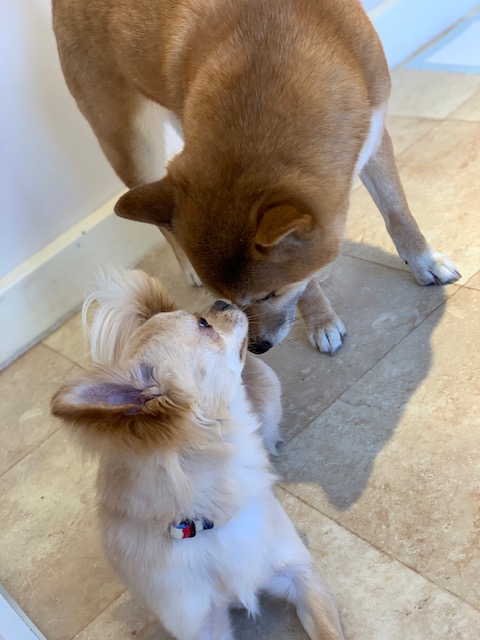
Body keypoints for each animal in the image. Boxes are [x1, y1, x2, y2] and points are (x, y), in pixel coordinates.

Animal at [51, 269, 345, 640]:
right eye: (203, 323)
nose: (220, 301)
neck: (206, 517)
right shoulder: (200, 626)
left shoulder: (299, 573)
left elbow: (329, 631)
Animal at [52, 0, 460, 356]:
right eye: (230, 299)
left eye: (270, 295)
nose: (257, 348)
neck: (271, 50)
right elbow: (308, 283)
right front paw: (321, 321)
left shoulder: (372, 133)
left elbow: (397, 212)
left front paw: (424, 262)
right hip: (132, 147)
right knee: (163, 227)